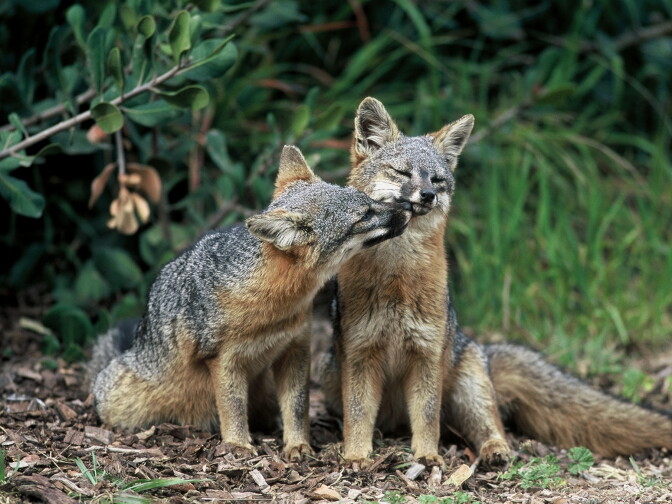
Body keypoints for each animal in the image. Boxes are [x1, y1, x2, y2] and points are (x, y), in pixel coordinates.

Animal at [88, 145, 411, 461]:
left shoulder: (295, 348)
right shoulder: (222, 359)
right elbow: (232, 406)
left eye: (370, 200)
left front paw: (298, 445)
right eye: (364, 216)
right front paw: (238, 445)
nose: (407, 209)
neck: (273, 308)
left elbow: (298, 407)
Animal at [320, 97, 672, 468]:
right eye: (401, 172)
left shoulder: (427, 355)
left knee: (486, 426)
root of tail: (478, 346)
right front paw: (356, 455)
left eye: (437, 179)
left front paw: (428, 455)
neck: (396, 281)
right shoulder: (360, 354)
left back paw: (495, 451)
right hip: (331, 375)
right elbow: (358, 416)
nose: (428, 194)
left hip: (468, 390)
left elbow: (427, 419)